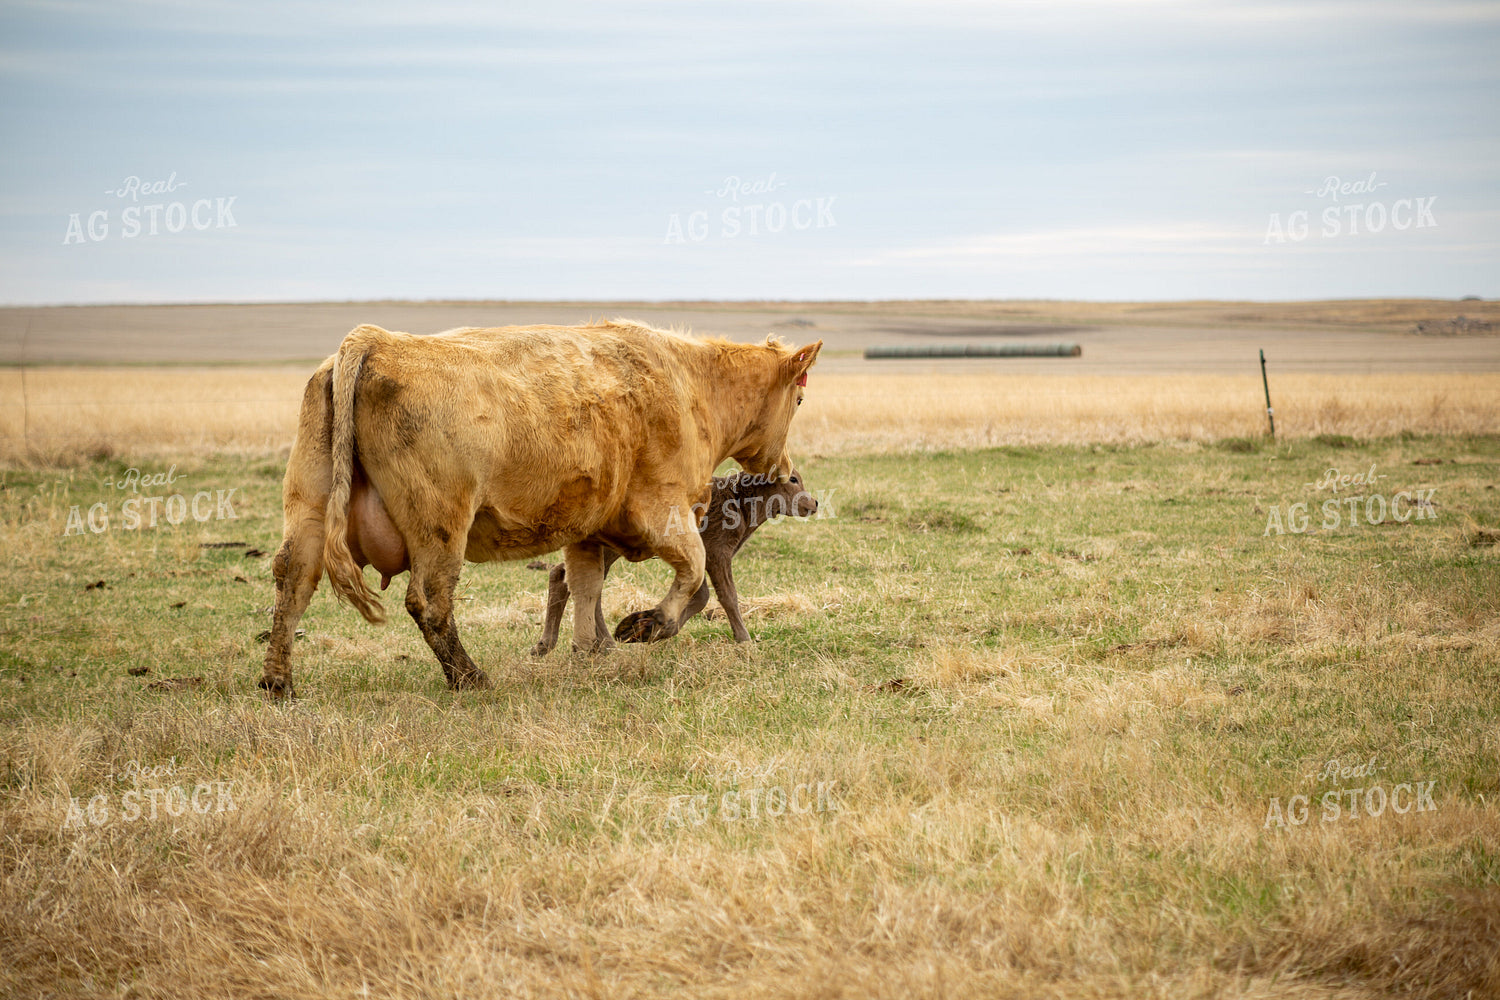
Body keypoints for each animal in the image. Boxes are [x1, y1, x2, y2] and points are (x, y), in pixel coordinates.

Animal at [258, 320, 821, 698]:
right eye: (797, 401)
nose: (785, 469)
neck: (691, 383)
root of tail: (374, 341)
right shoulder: (665, 510)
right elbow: (694, 575)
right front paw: (646, 625)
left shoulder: (588, 531)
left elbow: (584, 588)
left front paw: (588, 652)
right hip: (441, 528)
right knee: (430, 603)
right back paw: (470, 677)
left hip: (310, 514)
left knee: (293, 583)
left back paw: (277, 682)